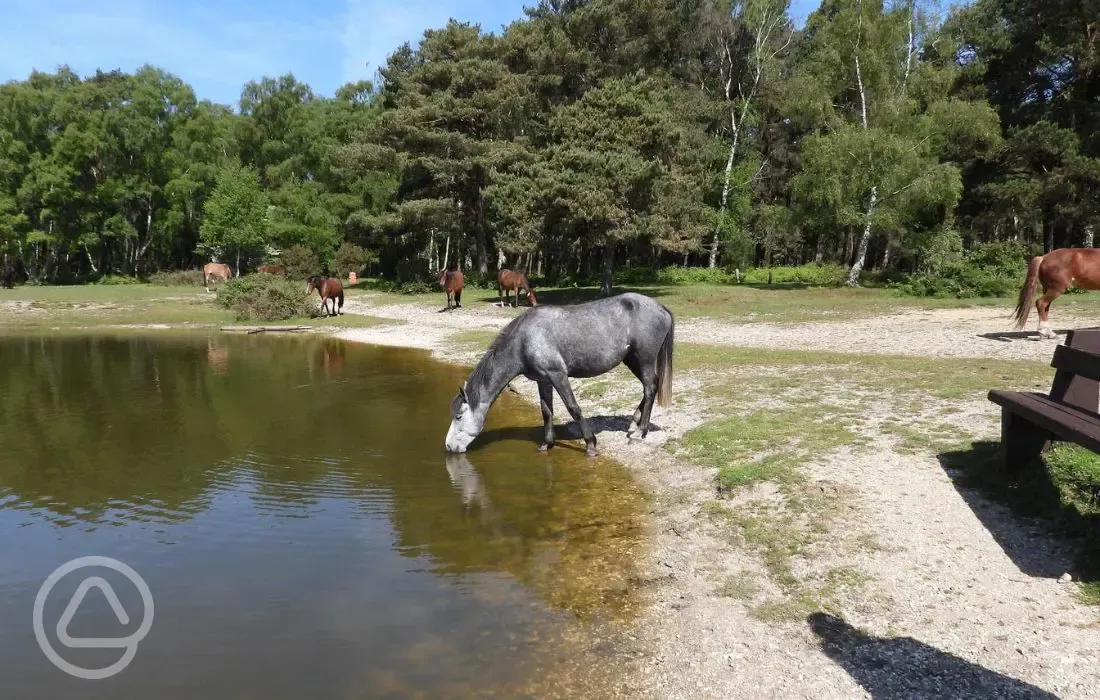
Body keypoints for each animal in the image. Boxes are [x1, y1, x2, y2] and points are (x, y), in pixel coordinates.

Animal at [442, 292, 673, 455]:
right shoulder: (543, 380)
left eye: (458, 416)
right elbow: (547, 411)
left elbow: (573, 407)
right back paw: (634, 425)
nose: (449, 447)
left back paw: (640, 432)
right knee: (649, 387)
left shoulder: (558, 375)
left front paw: (590, 444)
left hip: (644, 359)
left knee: (650, 388)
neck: (524, 340)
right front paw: (547, 444)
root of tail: (660, 307)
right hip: (632, 360)